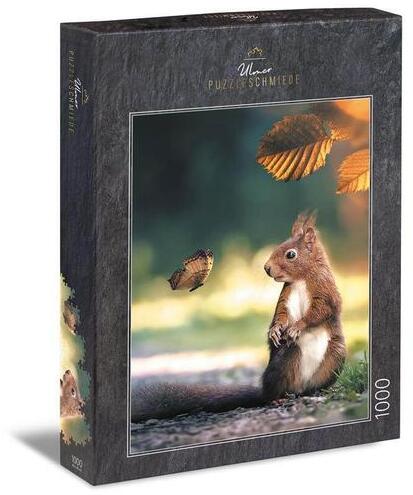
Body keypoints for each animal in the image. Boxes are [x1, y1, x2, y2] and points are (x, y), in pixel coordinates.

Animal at [131, 213, 346, 421]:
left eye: (291, 254)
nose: (267, 268)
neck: (301, 279)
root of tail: (298, 388)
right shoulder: (285, 297)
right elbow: (281, 315)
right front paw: (275, 331)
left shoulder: (325, 291)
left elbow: (320, 311)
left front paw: (296, 327)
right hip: (285, 361)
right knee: (272, 392)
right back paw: (276, 398)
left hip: (334, 358)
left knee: (312, 385)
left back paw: (315, 392)